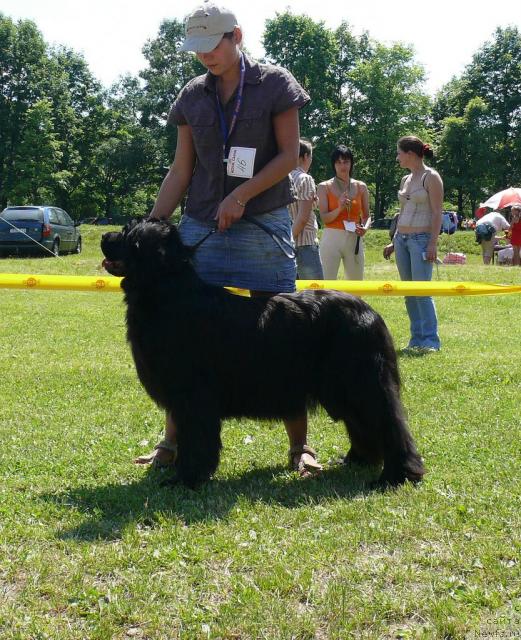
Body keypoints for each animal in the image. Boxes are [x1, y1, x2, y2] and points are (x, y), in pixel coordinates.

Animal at [100, 220, 422, 490]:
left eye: (130, 236)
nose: (104, 236)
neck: (168, 293)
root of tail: (371, 313)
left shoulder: (193, 396)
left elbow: (196, 441)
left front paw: (186, 479)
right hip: (343, 389)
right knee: (362, 424)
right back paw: (356, 460)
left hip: (362, 383)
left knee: (390, 424)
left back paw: (396, 475)